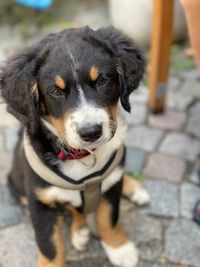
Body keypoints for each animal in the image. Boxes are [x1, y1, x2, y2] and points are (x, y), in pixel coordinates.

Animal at [0, 25, 150, 267]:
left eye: (102, 80)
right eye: (56, 91)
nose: (91, 132)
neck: (83, 156)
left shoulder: (111, 185)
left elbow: (108, 217)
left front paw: (119, 247)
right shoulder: (39, 202)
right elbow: (50, 246)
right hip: (18, 188)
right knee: (71, 207)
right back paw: (80, 230)